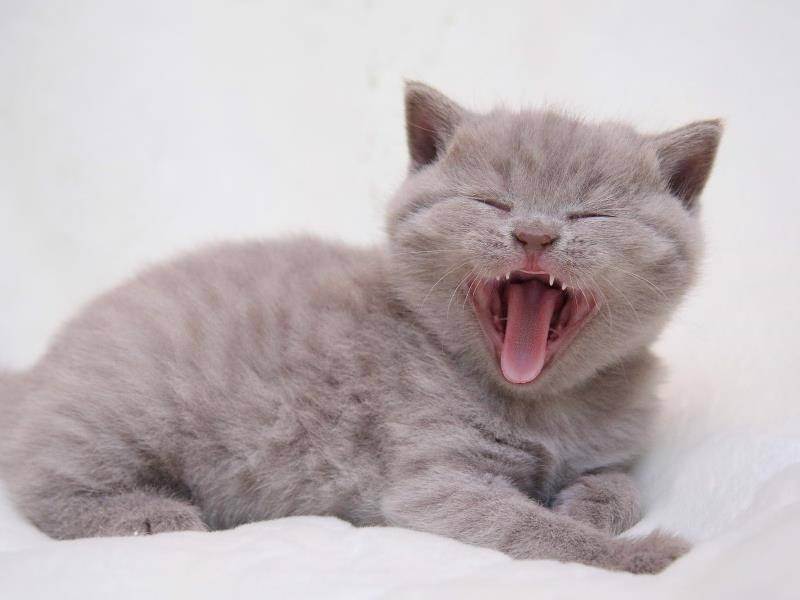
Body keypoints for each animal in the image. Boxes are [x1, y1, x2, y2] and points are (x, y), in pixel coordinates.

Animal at [0, 82, 721, 574]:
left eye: (590, 215)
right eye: (492, 202)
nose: (535, 234)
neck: (544, 407)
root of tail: (39, 370)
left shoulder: (610, 447)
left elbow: (623, 483)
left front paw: (592, 506)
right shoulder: (435, 483)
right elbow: (533, 532)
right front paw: (644, 556)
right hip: (120, 411)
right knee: (43, 484)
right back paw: (150, 513)